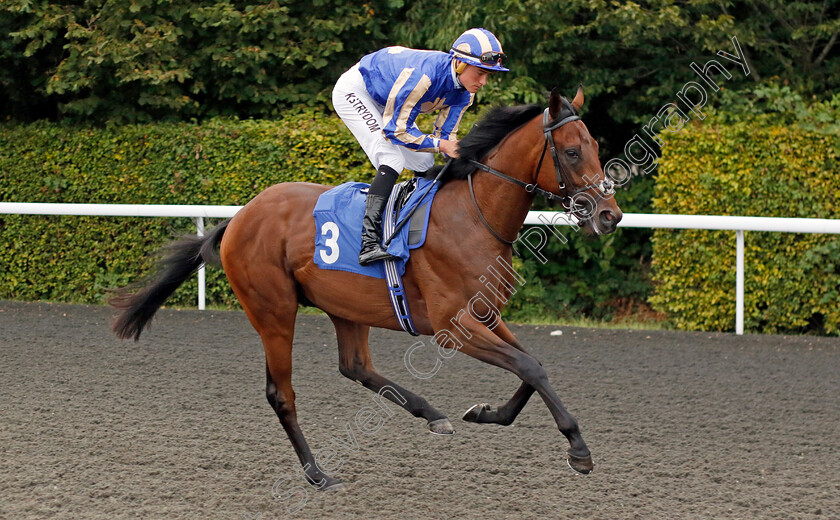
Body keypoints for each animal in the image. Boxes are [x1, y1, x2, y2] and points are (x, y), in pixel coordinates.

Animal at [111, 87, 624, 490]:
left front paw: (486, 413)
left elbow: (531, 366)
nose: (610, 215)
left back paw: (430, 414)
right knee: (282, 393)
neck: (471, 217)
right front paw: (578, 450)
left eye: (595, 145)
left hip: (344, 306)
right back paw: (317, 474)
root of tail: (240, 217)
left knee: (355, 366)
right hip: (274, 312)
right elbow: (530, 367)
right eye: (572, 151)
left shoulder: (485, 315)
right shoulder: (453, 326)